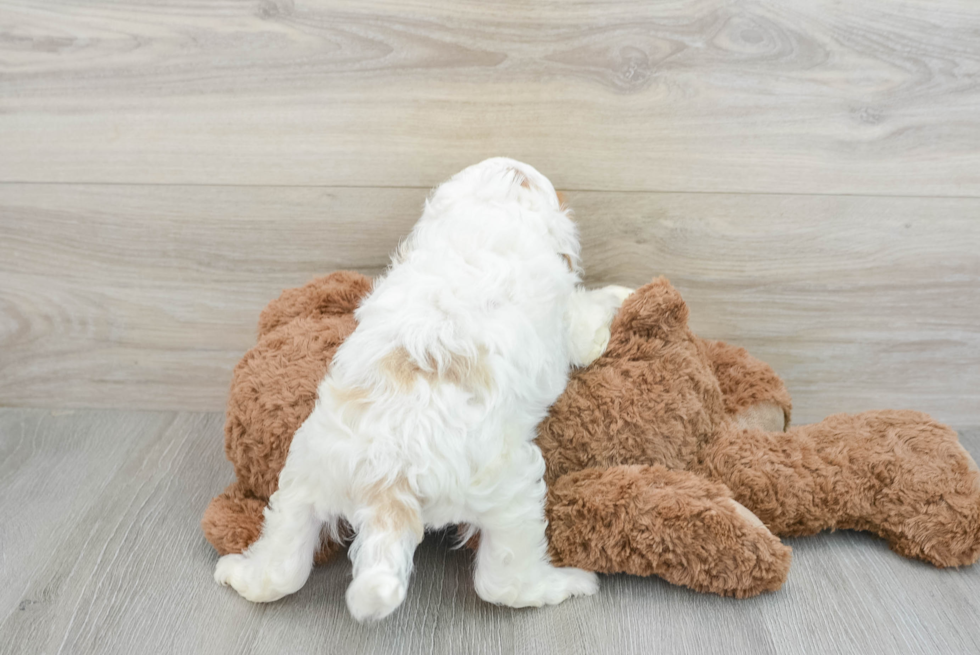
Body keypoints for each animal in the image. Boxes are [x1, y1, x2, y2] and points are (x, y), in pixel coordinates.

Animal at [212, 158, 628, 620]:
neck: (485, 215)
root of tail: (387, 478)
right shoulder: (569, 322)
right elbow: (590, 323)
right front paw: (620, 293)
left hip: (306, 473)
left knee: (282, 564)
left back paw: (240, 574)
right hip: (508, 488)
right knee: (504, 585)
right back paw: (569, 583)